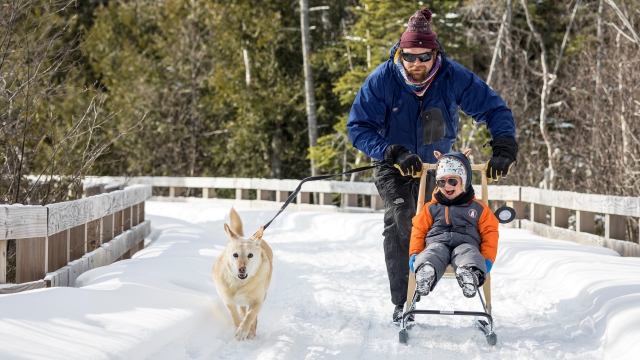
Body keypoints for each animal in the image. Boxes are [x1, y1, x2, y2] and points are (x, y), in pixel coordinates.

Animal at [212, 208, 272, 340]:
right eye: (235, 255)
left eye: (250, 255)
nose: (242, 269)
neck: (239, 283)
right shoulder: (228, 301)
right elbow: (234, 316)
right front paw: (238, 326)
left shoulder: (258, 301)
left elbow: (250, 315)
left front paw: (243, 331)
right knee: (242, 309)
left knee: (253, 317)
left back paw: (252, 331)